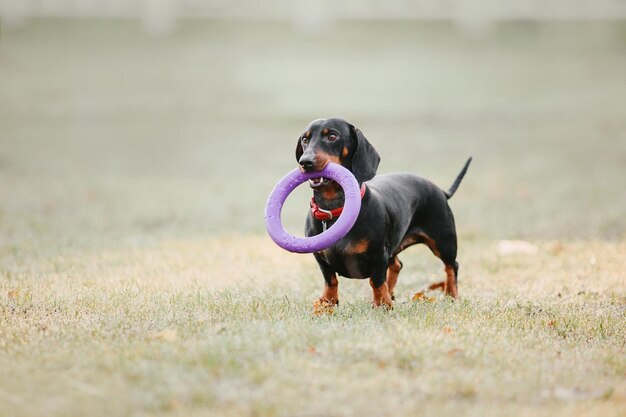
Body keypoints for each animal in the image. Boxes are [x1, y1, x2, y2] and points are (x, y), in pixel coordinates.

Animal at [296, 118, 468, 308]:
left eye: (332, 136)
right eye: (305, 139)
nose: (305, 162)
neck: (334, 209)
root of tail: (441, 190)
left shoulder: (378, 254)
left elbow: (376, 281)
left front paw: (382, 305)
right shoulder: (320, 258)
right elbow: (330, 280)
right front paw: (327, 303)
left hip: (443, 242)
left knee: (452, 265)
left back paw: (451, 294)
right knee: (397, 265)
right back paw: (391, 292)